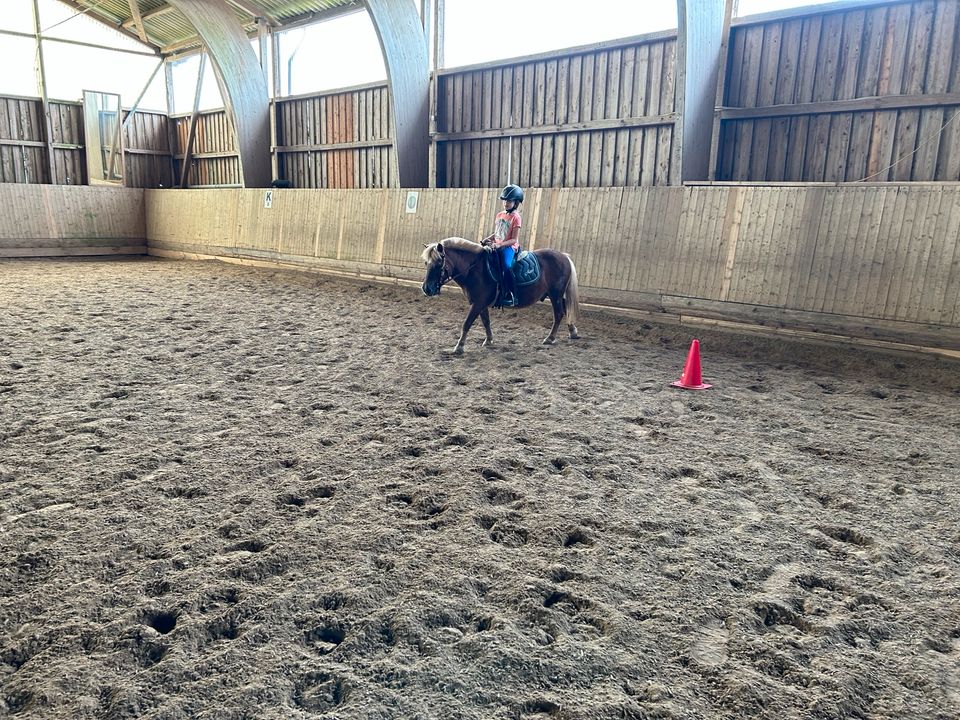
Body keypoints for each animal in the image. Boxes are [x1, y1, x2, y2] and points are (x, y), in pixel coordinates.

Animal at [418, 239, 576, 354]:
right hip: (558, 295)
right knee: (566, 311)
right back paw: (572, 331)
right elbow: (486, 321)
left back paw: (550, 338)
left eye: (439, 262)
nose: (427, 289)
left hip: (555, 295)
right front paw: (488, 340)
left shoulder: (477, 303)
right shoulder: (480, 303)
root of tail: (564, 256)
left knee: (559, 314)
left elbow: (467, 323)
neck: (475, 269)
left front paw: (459, 346)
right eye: (426, 262)